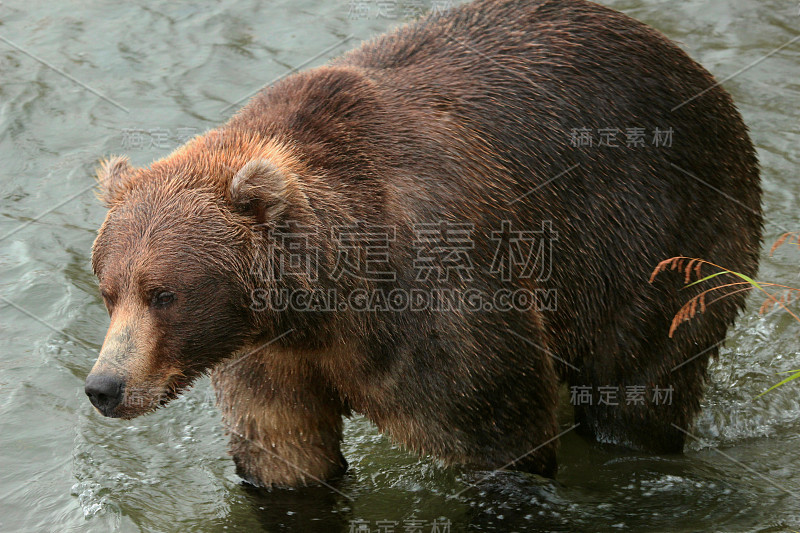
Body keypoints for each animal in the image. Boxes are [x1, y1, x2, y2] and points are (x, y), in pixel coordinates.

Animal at [86, 0, 764, 486]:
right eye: (109, 291)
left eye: (165, 292)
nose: (104, 387)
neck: (324, 305)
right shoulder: (268, 359)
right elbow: (284, 459)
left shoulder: (440, 309)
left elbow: (501, 435)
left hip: (656, 243)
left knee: (637, 391)